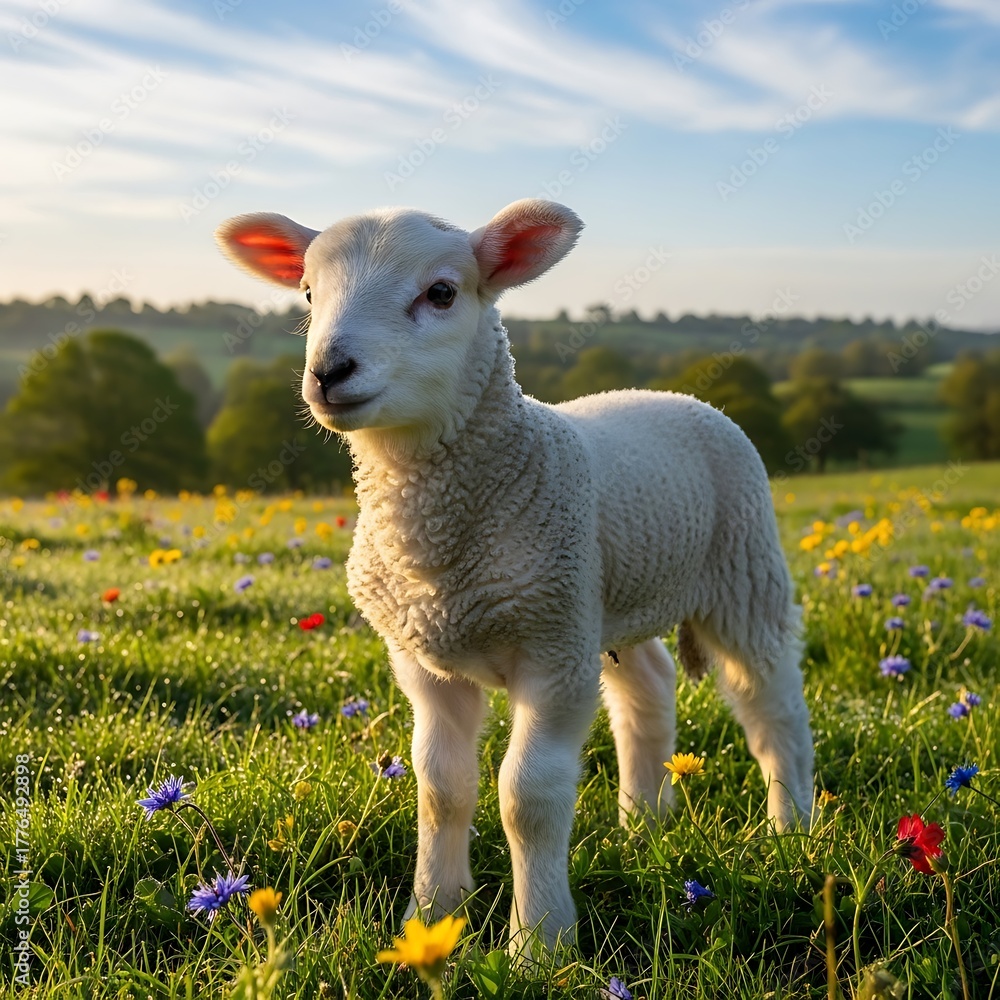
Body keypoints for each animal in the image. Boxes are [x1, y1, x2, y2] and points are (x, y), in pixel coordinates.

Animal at [215, 198, 814, 958]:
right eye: (308, 295)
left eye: (442, 293)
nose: (329, 371)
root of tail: (669, 392)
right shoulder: (426, 662)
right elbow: (442, 789)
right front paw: (432, 914)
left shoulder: (552, 656)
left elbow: (527, 798)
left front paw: (540, 944)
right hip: (607, 597)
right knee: (649, 689)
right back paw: (643, 824)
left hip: (741, 571)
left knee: (773, 705)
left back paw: (793, 829)